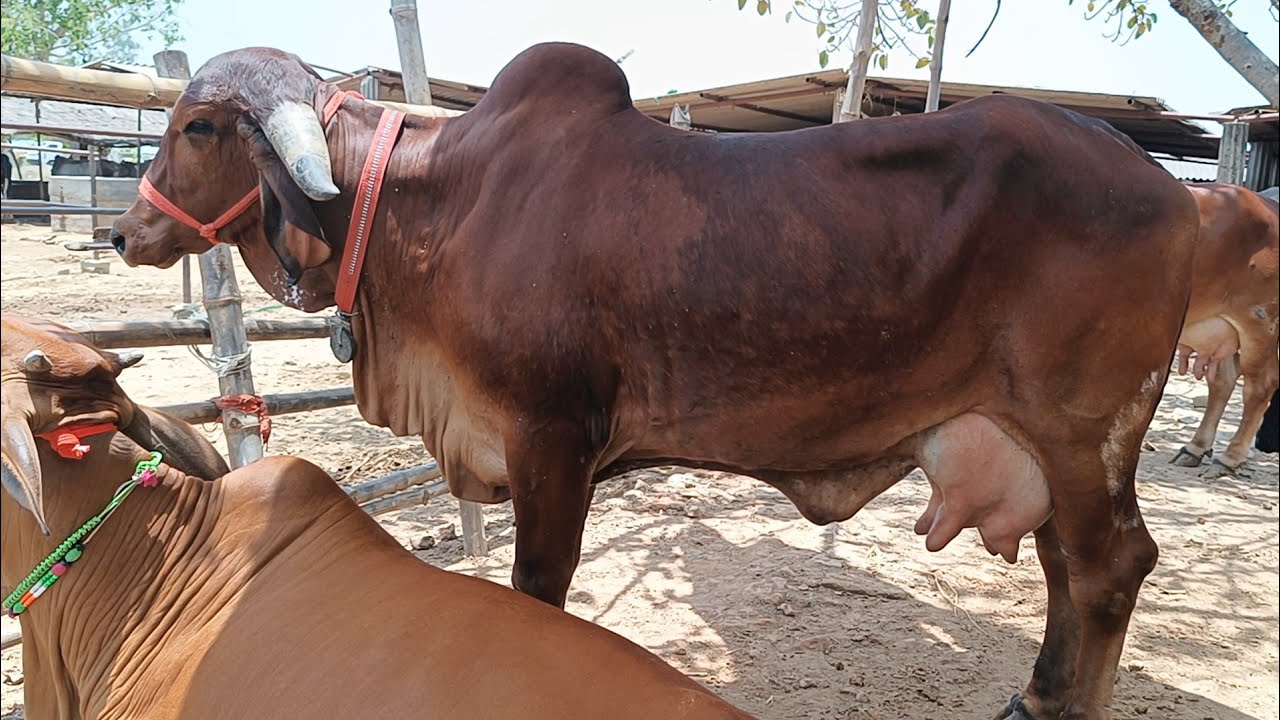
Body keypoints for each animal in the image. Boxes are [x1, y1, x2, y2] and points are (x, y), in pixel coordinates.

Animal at [110, 44, 1202, 719]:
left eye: (198, 127)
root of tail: (1172, 191)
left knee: (1111, 567)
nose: (124, 231)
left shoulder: (552, 439)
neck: (436, 206)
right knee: (1064, 563)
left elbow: (536, 586)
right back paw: (1039, 692)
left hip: (1083, 430)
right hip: (1050, 446)